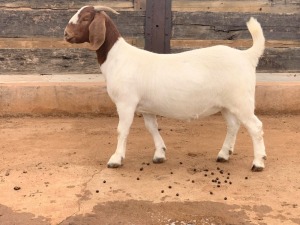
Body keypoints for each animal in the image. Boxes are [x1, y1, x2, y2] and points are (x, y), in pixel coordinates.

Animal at [65, 5, 268, 171]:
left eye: (85, 18)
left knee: (255, 126)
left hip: (242, 100)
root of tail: (246, 56)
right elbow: (152, 128)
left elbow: (122, 129)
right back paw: (224, 155)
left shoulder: (126, 102)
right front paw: (160, 154)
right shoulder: (145, 107)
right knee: (233, 125)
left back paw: (258, 162)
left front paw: (116, 159)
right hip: (226, 104)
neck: (117, 57)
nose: (66, 34)